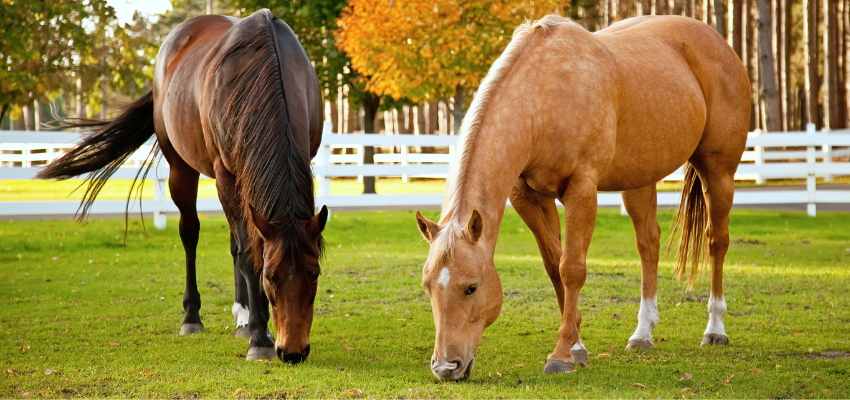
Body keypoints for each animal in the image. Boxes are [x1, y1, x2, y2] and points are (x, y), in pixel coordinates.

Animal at [38, 9, 326, 364]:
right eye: (270, 277)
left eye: (315, 274)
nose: (294, 351)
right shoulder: (226, 174)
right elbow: (250, 254)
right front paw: (260, 338)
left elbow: (246, 247)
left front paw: (254, 326)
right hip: (182, 167)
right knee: (191, 233)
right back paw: (193, 318)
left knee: (235, 241)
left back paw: (242, 317)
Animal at [414, 14, 744, 380]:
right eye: (427, 286)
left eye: (471, 287)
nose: (446, 367)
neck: (542, 98)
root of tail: (718, 42)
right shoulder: (528, 197)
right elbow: (553, 266)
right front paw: (576, 345)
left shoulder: (581, 189)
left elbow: (571, 267)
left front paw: (561, 355)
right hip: (639, 181)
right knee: (648, 243)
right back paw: (643, 334)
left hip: (718, 172)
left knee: (716, 241)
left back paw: (715, 329)